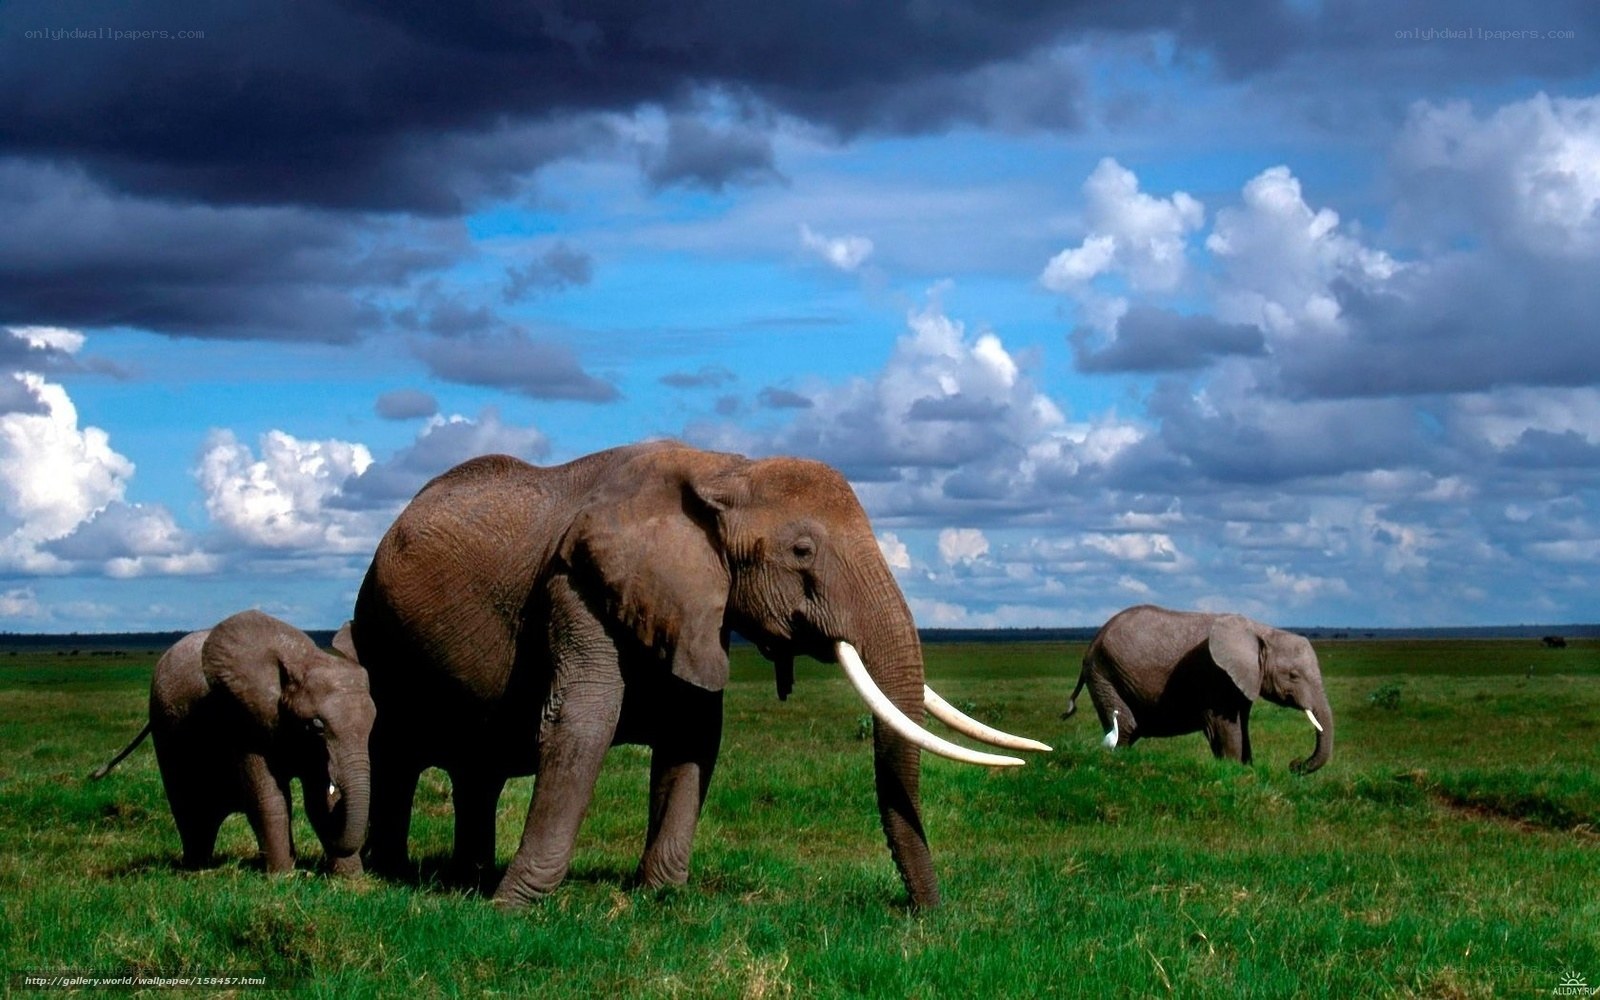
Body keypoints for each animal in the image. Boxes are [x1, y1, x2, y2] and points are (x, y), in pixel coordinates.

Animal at [92, 610, 375, 875]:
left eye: (373, 722)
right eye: (316, 725)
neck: (303, 660)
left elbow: (320, 800)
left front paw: (351, 879)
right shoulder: (243, 720)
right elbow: (269, 798)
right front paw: (283, 876)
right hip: (166, 730)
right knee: (190, 809)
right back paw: (197, 868)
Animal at [349, 440, 1049, 909]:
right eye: (801, 551)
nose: (925, 912)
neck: (724, 470)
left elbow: (693, 736)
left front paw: (660, 897)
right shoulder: (578, 584)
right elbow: (581, 723)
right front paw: (514, 908)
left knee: (478, 770)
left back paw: (464, 875)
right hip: (378, 633)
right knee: (397, 750)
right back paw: (386, 875)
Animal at [1063, 605, 1333, 774]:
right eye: (1293, 676)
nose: (1294, 764)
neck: (1261, 630)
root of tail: (1092, 642)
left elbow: (1242, 726)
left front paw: (1247, 769)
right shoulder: (1214, 675)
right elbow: (1225, 728)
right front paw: (1233, 771)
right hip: (1104, 673)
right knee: (1126, 727)